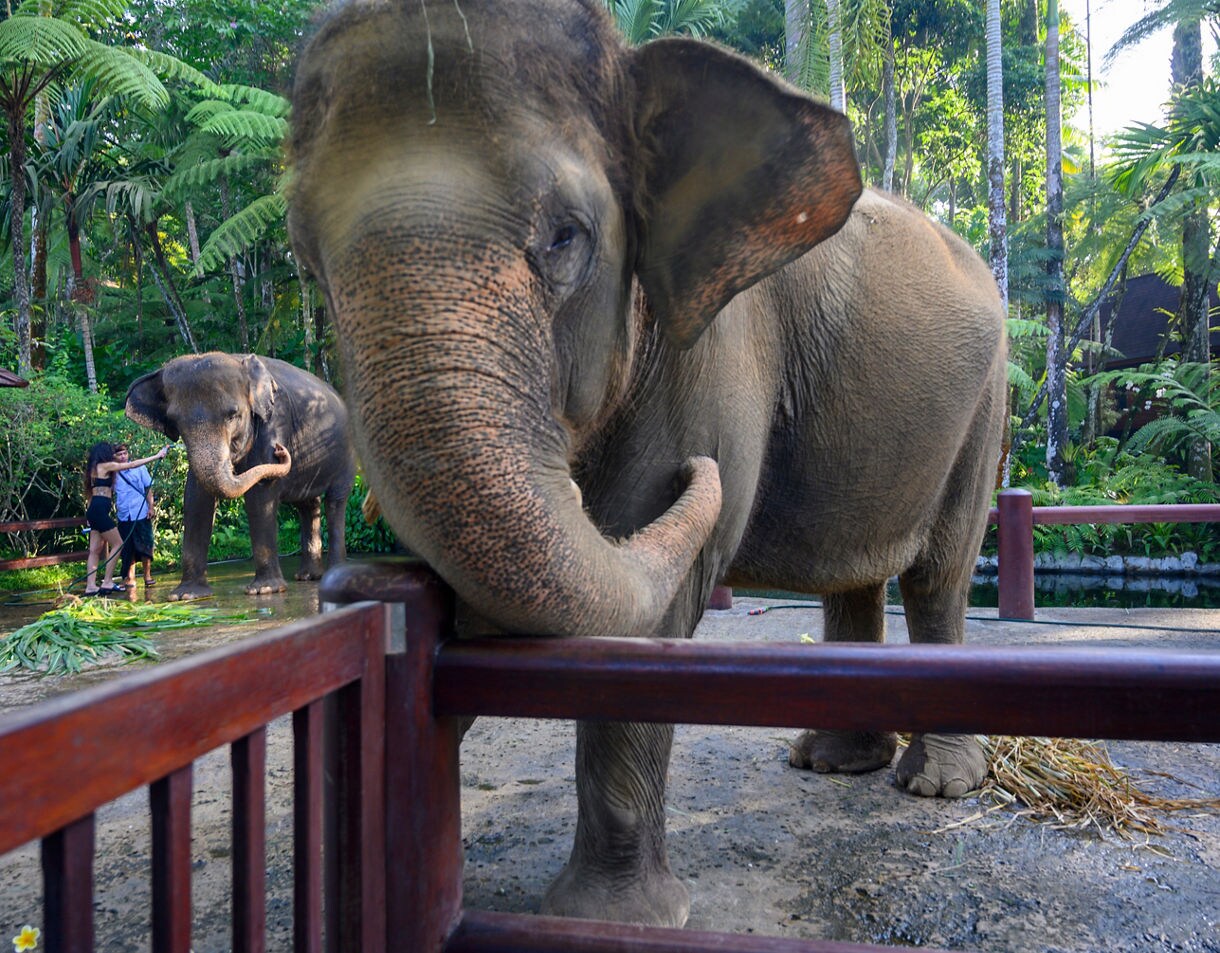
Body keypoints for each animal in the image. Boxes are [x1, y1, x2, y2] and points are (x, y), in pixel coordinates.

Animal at [126, 353, 356, 600]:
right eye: (176, 421)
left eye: (233, 415)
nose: (280, 450)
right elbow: (196, 497)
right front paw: (186, 595)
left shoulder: (275, 420)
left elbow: (260, 496)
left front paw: (264, 590)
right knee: (307, 504)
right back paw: (308, 576)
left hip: (346, 453)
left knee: (335, 501)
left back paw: (334, 573)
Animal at [287, 0, 1007, 929]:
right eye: (305, 260)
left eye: (566, 237)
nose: (704, 473)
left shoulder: (722, 341)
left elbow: (648, 594)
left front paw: (610, 919)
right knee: (857, 577)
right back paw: (832, 761)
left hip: (985, 402)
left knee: (939, 572)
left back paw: (936, 785)